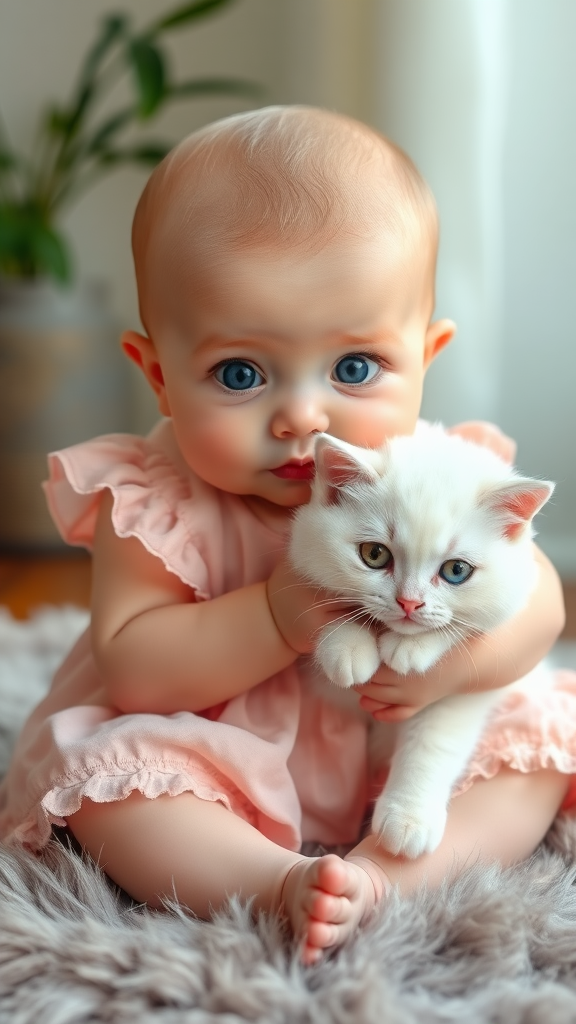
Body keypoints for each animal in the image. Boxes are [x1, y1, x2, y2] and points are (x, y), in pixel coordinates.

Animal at [291, 428, 553, 860]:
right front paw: (347, 646)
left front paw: (408, 819)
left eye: (456, 570)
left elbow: (432, 743)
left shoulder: (467, 691)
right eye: (374, 554)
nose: (409, 603)